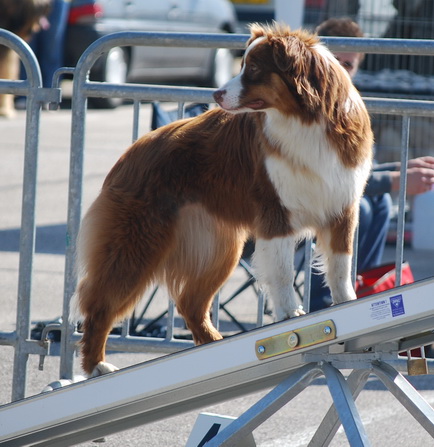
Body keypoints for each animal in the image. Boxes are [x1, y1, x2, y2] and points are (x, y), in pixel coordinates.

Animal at [69, 22, 372, 376]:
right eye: (242, 65)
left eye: (253, 69)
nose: (215, 94)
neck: (306, 120)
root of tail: (129, 154)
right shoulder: (275, 215)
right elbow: (283, 272)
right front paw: (289, 316)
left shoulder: (342, 208)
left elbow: (340, 265)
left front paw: (347, 305)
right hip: (136, 244)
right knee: (99, 304)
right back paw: (96, 365)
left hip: (218, 248)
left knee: (189, 303)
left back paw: (213, 346)